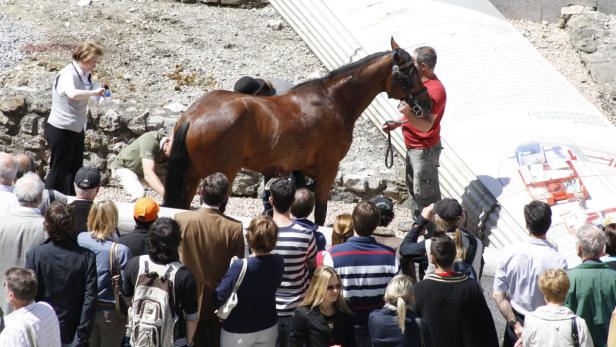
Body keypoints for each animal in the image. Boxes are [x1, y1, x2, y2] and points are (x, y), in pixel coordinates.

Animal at [164, 38, 434, 226]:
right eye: (410, 72)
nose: (428, 102)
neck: (331, 100)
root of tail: (193, 116)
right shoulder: (328, 170)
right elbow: (321, 213)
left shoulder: (297, 170)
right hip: (221, 174)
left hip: (191, 175)